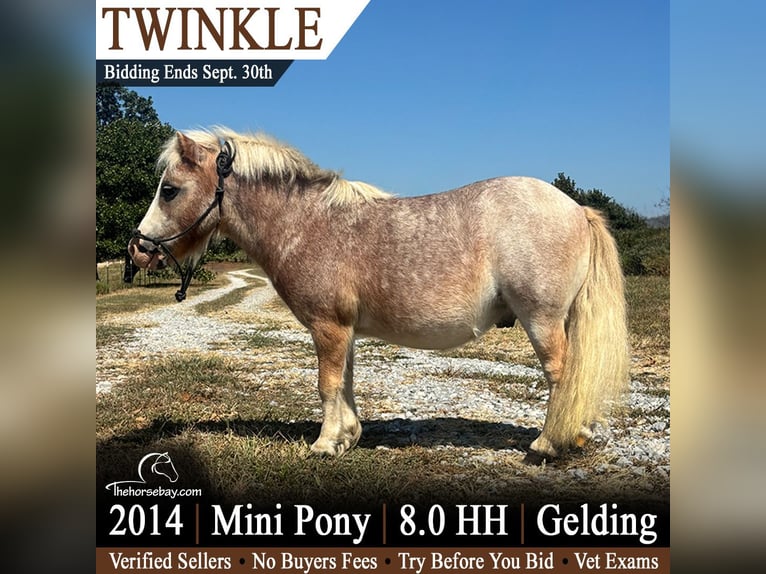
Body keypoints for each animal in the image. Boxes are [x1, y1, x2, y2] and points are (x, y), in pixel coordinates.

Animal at [128, 127, 630, 459]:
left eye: (169, 190)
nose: (138, 250)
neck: (308, 223)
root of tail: (575, 208)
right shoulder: (343, 330)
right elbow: (345, 381)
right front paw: (347, 436)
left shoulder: (327, 327)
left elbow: (327, 383)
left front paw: (324, 444)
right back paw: (577, 433)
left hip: (541, 319)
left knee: (561, 374)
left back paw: (547, 443)